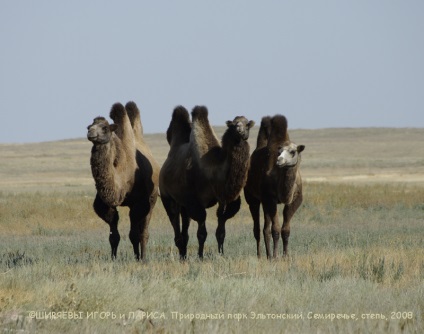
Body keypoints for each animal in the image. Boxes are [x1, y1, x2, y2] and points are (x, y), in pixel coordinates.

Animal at [87, 102, 160, 260]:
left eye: (105, 128)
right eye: (88, 126)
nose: (90, 132)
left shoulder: (138, 203)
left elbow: (134, 234)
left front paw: (139, 258)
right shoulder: (106, 205)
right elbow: (114, 235)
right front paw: (113, 258)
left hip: (151, 199)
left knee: (144, 230)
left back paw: (143, 257)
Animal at [158, 105, 252, 258]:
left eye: (247, 124)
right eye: (233, 124)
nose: (240, 130)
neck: (214, 169)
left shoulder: (223, 200)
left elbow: (221, 231)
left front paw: (221, 254)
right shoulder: (197, 202)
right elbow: (202, 233)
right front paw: (201, 256)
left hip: (184, 203)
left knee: (185, 230)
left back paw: (183, 256)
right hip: (168, 197)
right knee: (175, 224)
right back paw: (182, 255)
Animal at [242, 115, 304, 258]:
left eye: (293, 151)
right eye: (279, 151)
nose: (279, 160)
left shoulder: (295, 200)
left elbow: (285, 230)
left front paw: (285, 256)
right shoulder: (271, 199)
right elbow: (275, 229)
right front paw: (276, 257)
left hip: (264, 203)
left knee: (266, 228)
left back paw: (268, 255)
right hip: (253, 198)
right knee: (257, 228)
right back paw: (261, 256)